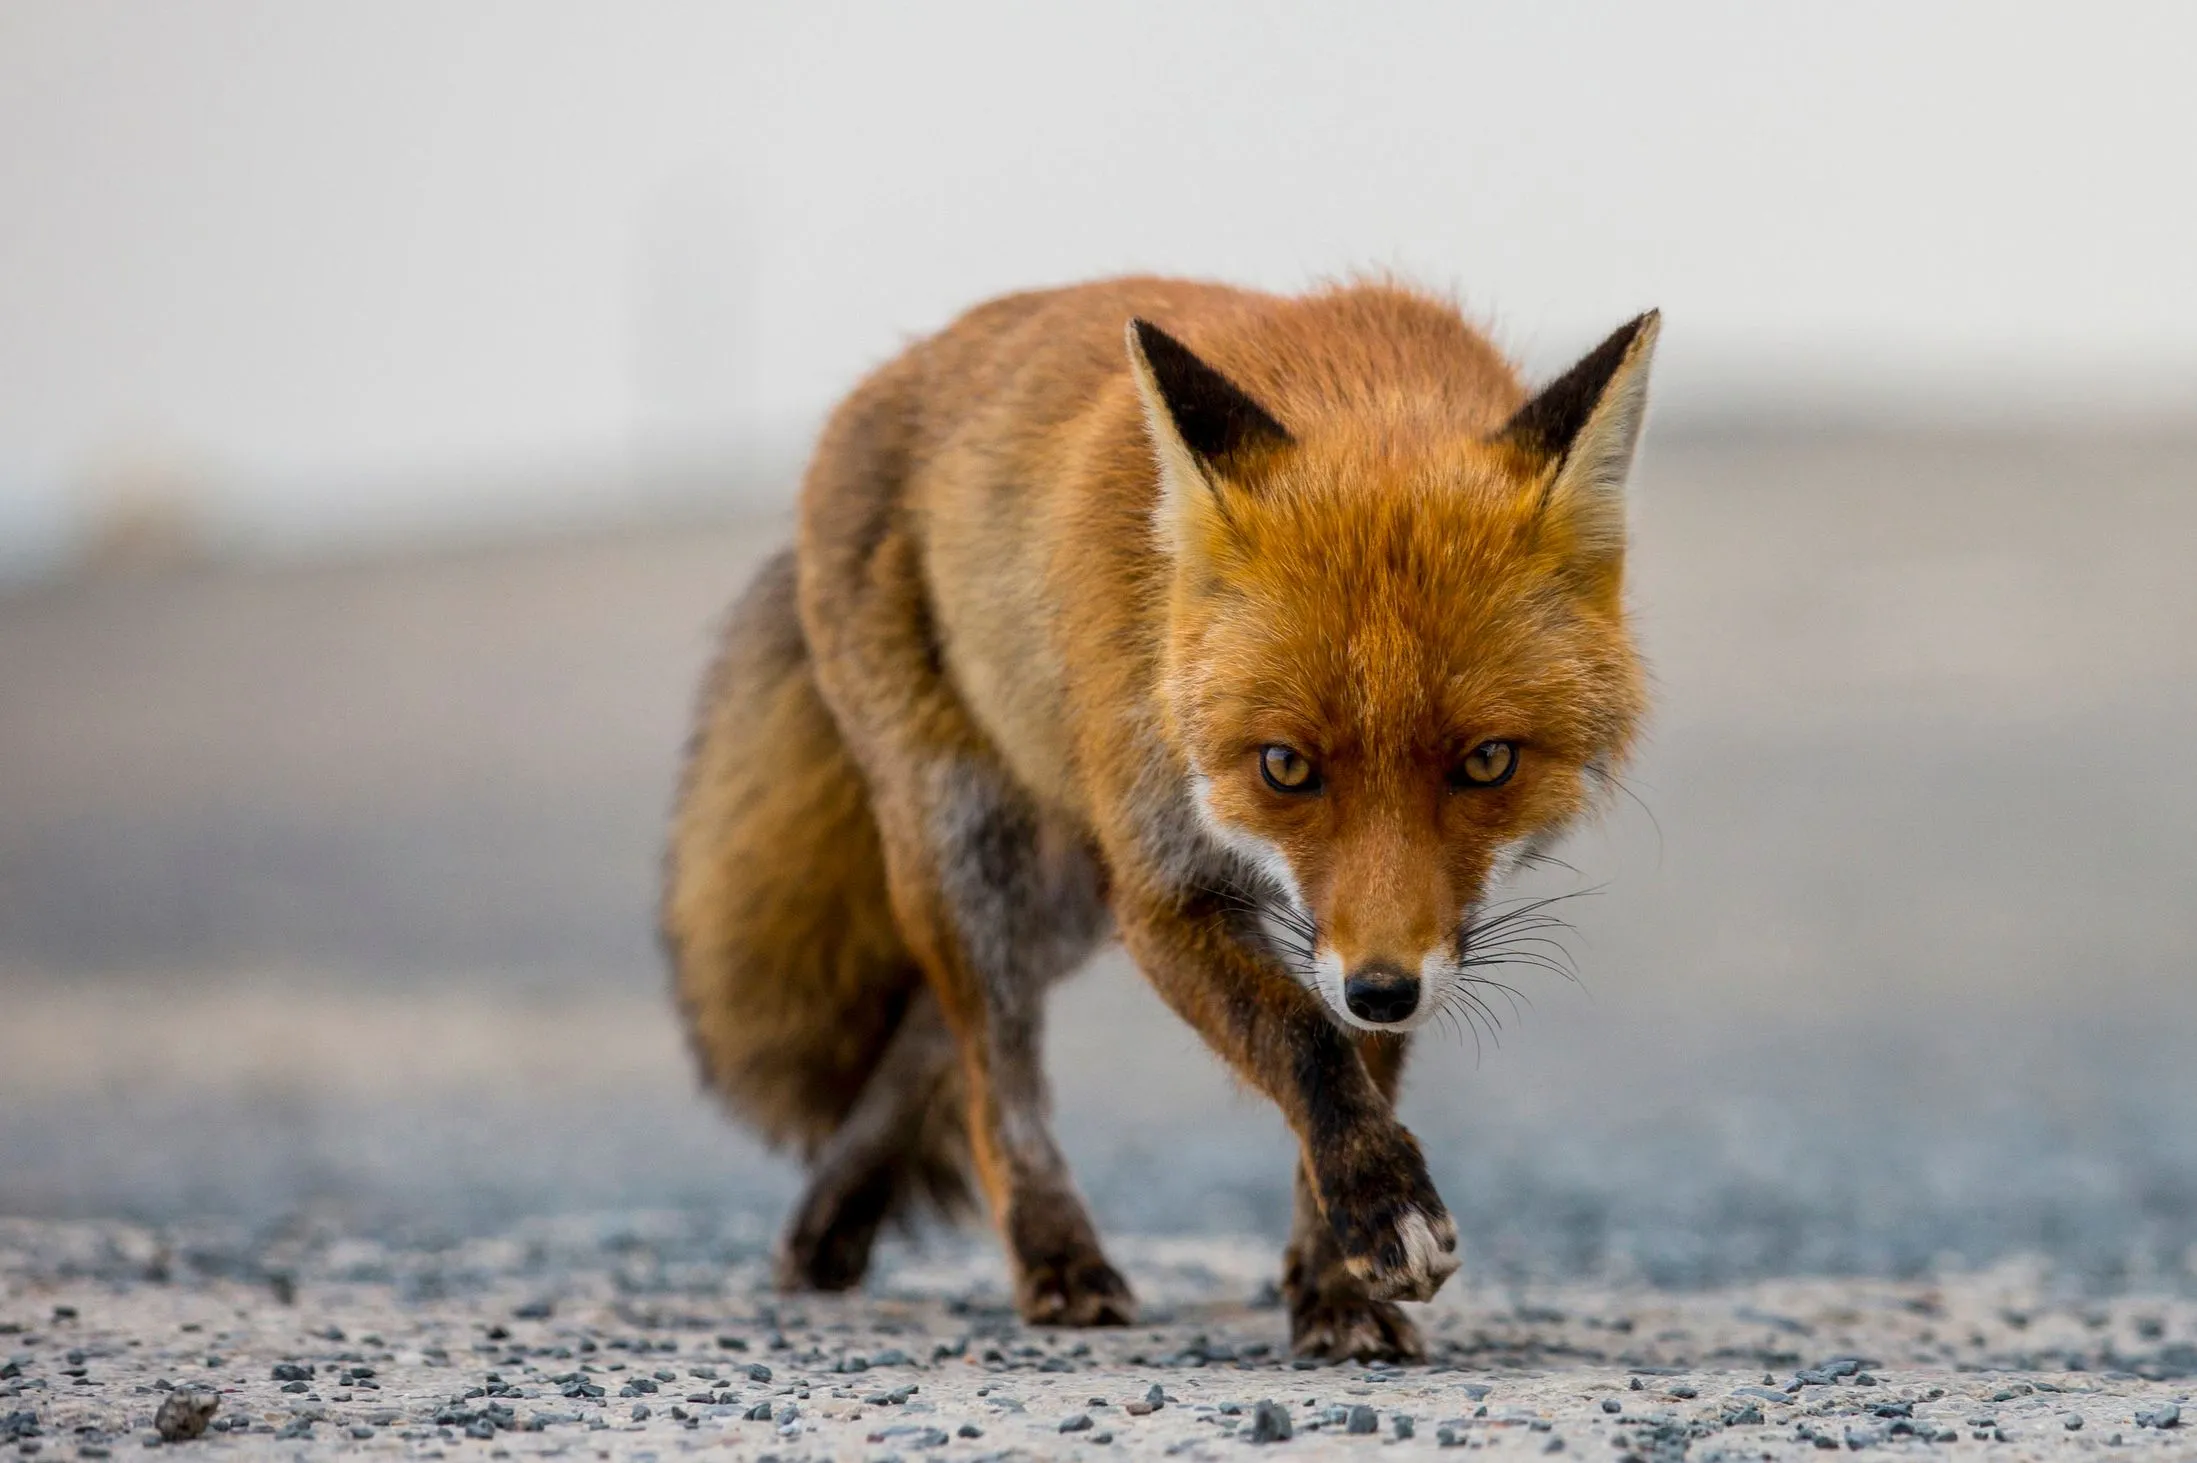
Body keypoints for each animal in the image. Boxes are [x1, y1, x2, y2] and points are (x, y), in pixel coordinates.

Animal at [659, 273, 1652, 1353]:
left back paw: (830, 1216)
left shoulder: (1385, 928)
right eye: (1284, 765)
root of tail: (884, 376)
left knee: (929, 1033)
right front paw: (1380, 1209)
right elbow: (1302, 1042)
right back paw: (1054, 1256)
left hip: (1061, 898)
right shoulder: (1164, 893)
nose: (1383, 991)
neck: (1364, 391)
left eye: (1486, 760)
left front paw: (1335, 1285)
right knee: (993, 1076)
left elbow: (1351, 1065)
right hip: (974, 848)